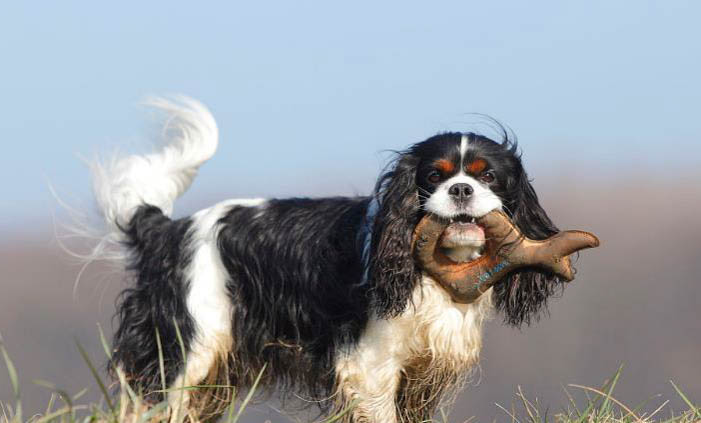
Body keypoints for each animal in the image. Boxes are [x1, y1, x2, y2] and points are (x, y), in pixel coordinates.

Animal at [82, 97, 560, 422]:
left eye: (488, 176)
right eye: (433, 176)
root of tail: (168, 230)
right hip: (185, 348)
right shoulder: (369, 367)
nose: (460, 189)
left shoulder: (419, 375)